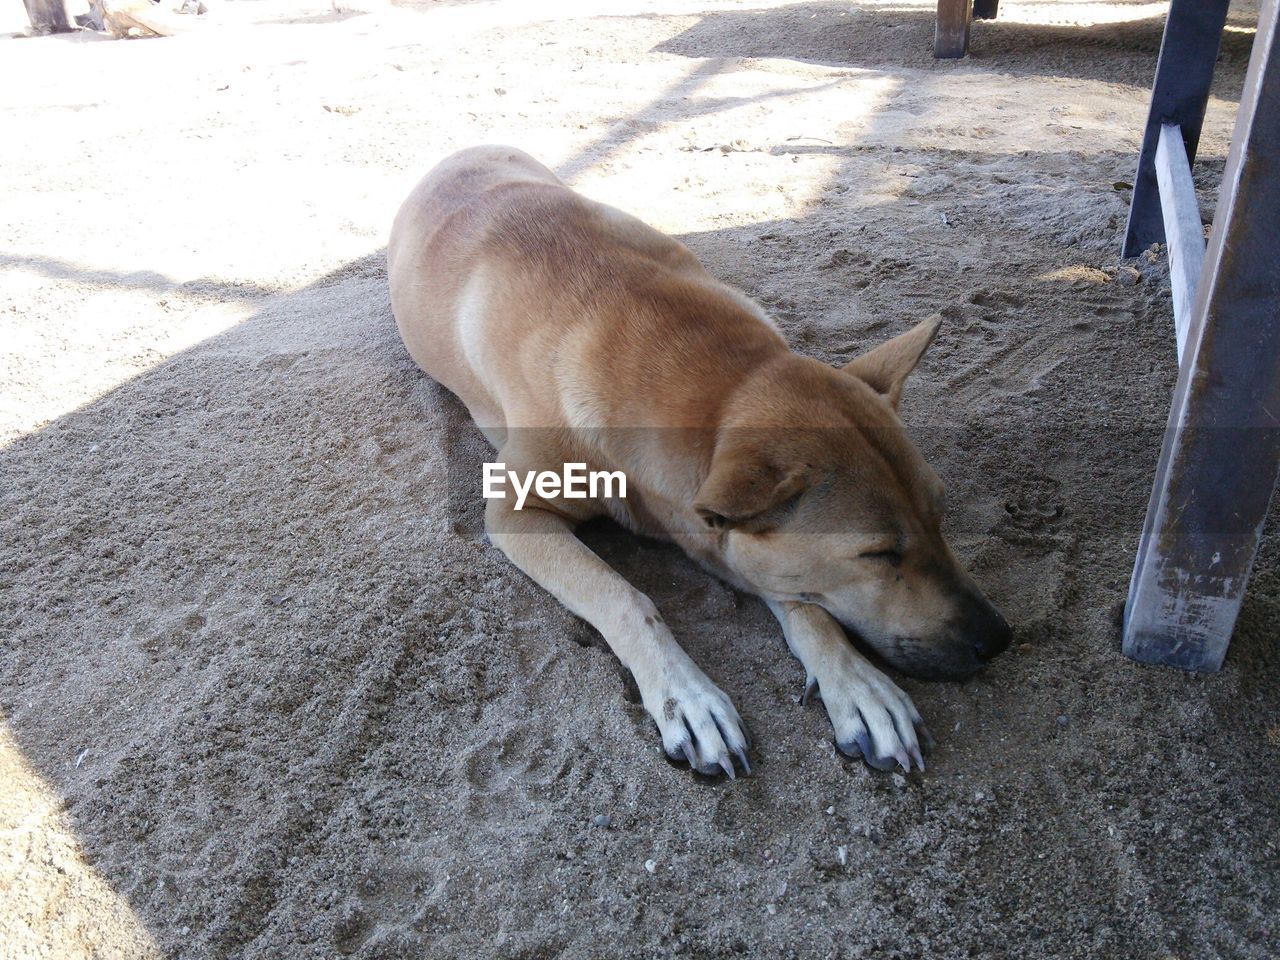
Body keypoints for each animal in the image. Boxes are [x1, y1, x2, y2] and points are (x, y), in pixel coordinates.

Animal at [389, 148, 1008, 783]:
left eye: (940, 515)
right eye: (879, 555)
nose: (999, 639)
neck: (722, 385)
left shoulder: (724, 527)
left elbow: (802, 597)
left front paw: (859, 685)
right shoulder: (516, 512)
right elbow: (622, 595)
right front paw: (686, 697)